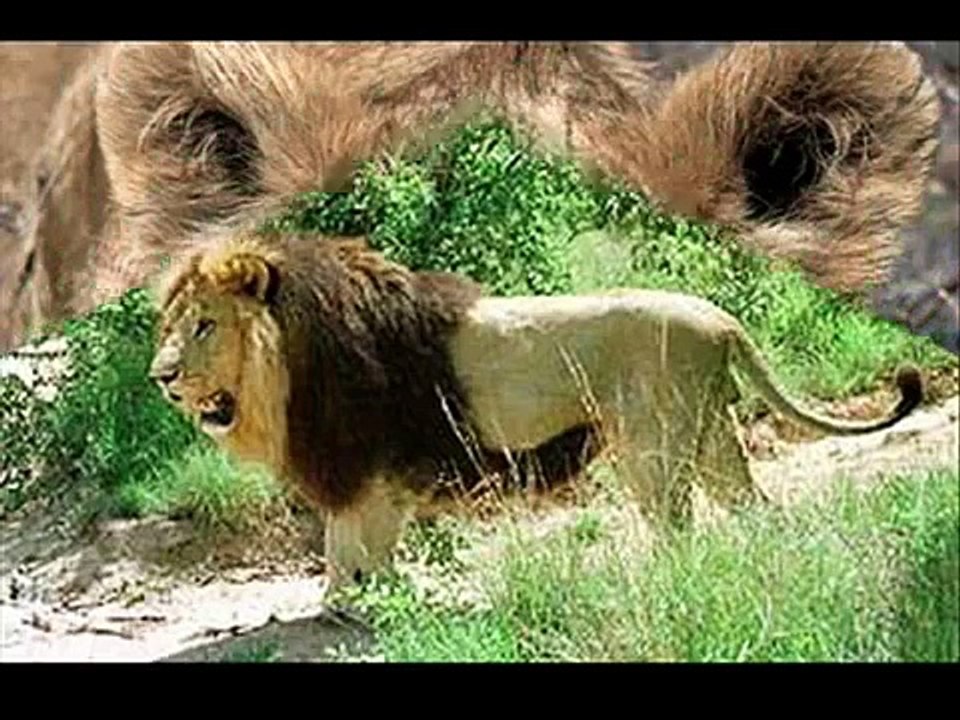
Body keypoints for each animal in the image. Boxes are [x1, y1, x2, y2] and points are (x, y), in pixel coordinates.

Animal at [148, 231, 924, 587]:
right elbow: (349, 548)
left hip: (654, 445)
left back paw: (669, 581)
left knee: (679, 527)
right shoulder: (364, 470)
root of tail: (720, 319)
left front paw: (367, 604)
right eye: (171, 325)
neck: (282, 368)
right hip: (710, 437)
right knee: (753, 509)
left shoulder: (374, 465)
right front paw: (348, 602)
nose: (160, 378)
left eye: (205, 326)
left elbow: (360, 547)